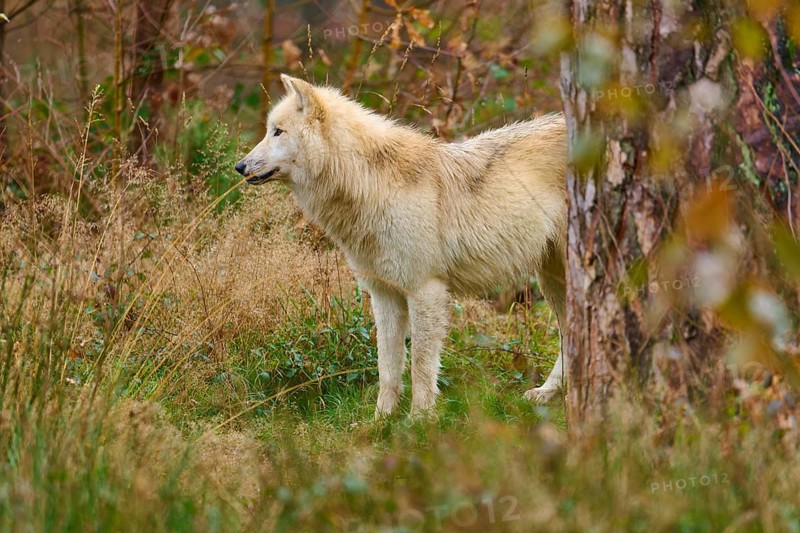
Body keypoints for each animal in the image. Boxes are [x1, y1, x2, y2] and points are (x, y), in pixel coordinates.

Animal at [235, 75, 568, 416]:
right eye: (268, 130)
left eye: (278, 131)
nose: (240, 166)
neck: (370, 184)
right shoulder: (383, 294)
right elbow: (388, 366)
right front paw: (381, 419)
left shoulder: (426, 290)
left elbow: (421, 365)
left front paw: (419, 420)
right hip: (552, 279)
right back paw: (549, 393)